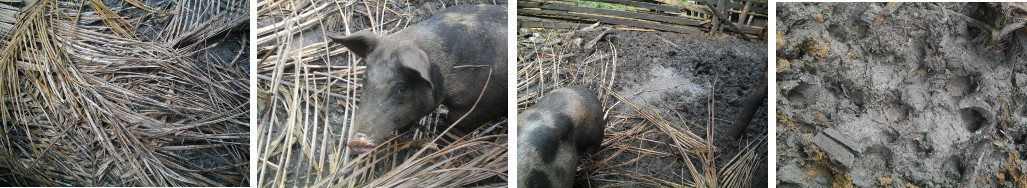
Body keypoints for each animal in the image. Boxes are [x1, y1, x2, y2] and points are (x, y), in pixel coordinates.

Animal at [326, 4, 507, 153]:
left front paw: (439, 144)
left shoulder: (479, 106)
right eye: (364, 80)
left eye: (400, 88)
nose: (358, 141)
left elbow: (455, 128)